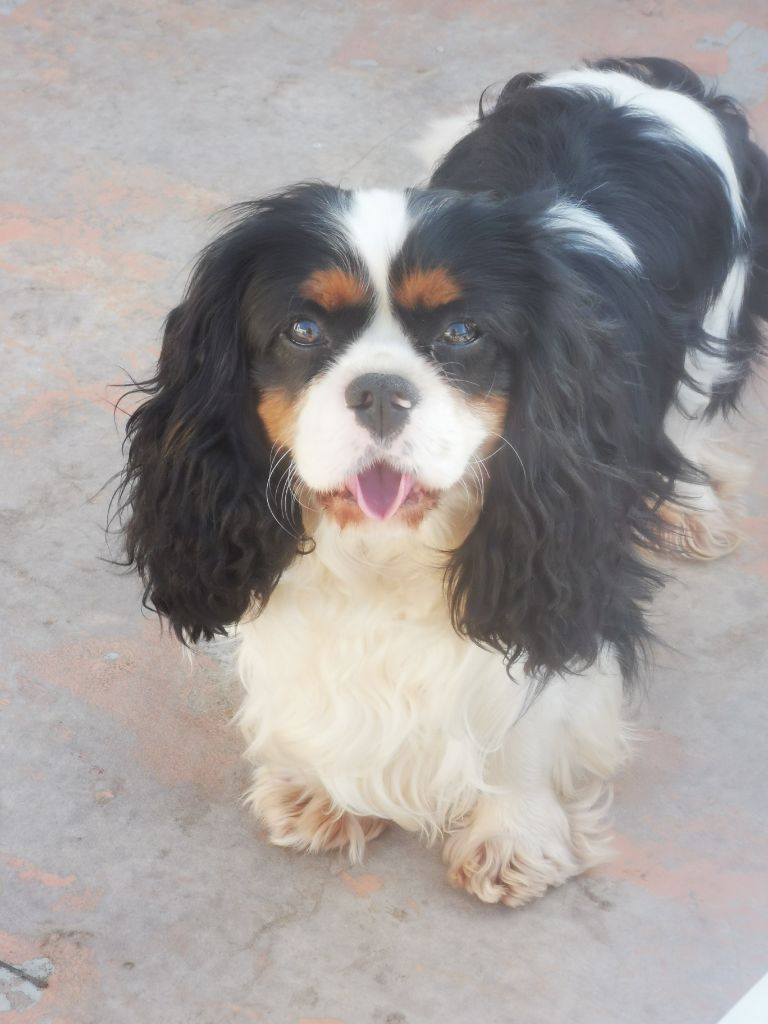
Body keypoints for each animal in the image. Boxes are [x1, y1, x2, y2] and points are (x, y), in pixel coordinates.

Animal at [117, 58, 767, 906]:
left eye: (462, 333)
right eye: (302, 330)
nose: (379, 391)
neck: (388, 551)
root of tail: (642, 74)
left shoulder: (559, 559)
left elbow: (532, 710)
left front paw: (515, 834)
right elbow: (308, 678)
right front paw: (322, 789)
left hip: (714, 335)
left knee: (686, 424)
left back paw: (685, 507)